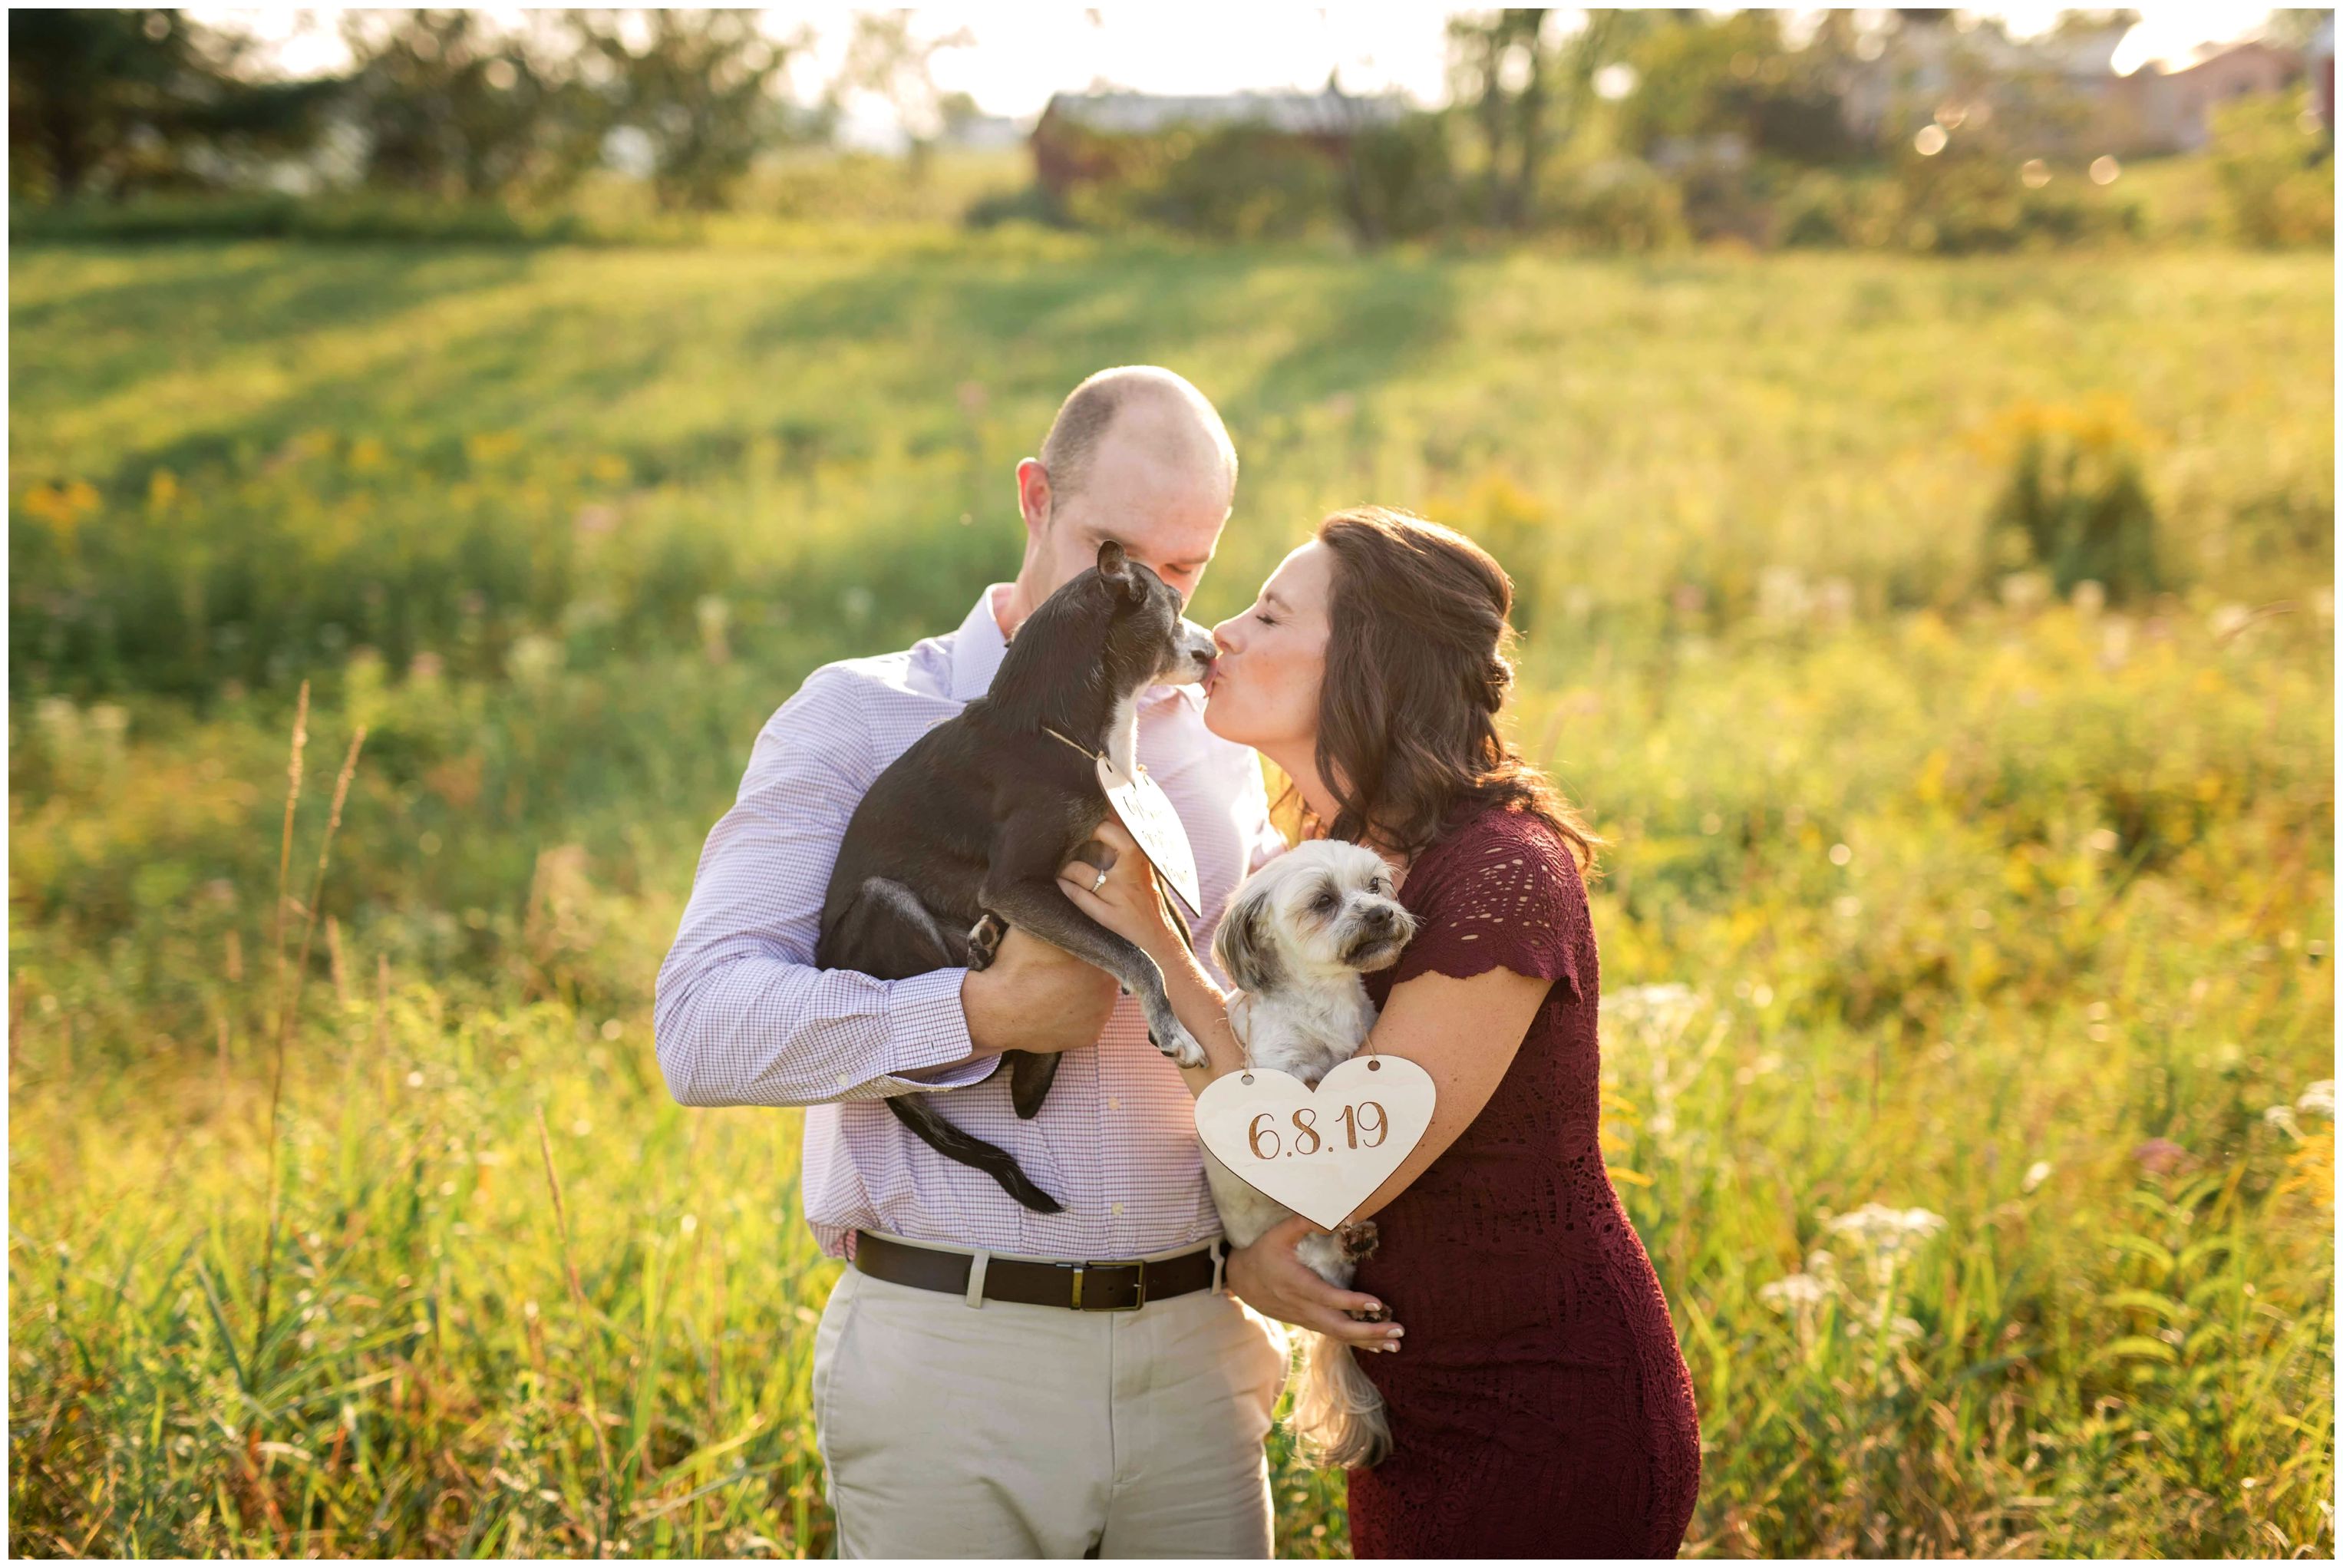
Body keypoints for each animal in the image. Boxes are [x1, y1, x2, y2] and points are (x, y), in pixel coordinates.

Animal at [815, 539, 1218, 1209]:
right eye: (1177, 607)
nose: (1214, 650)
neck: (1064, 732)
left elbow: (1167, 918)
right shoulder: (1015, 883)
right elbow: (1137, 955)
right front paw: (1171, 1027)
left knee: (1023, 1088)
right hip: (884, 900)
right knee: (989, 1039)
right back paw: (984, 946)